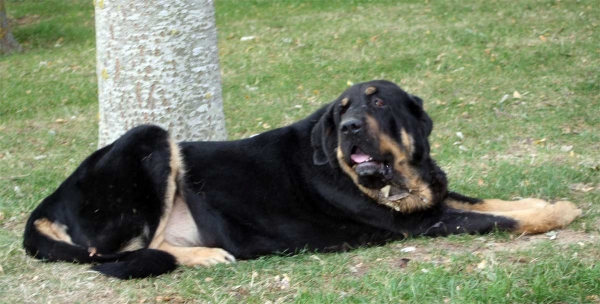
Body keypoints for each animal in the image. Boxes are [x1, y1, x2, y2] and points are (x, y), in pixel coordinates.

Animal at [23, 80, 580, 278]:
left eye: (378, 102)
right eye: (343, 110)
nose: (351, 127)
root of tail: (50, 199)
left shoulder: (433, 202)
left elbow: (492, 201)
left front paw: (542, 201)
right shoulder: (421, 225)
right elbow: (497, 219)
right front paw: (556, 213)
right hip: (149, 139)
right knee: (117, 252)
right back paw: (205, 255)